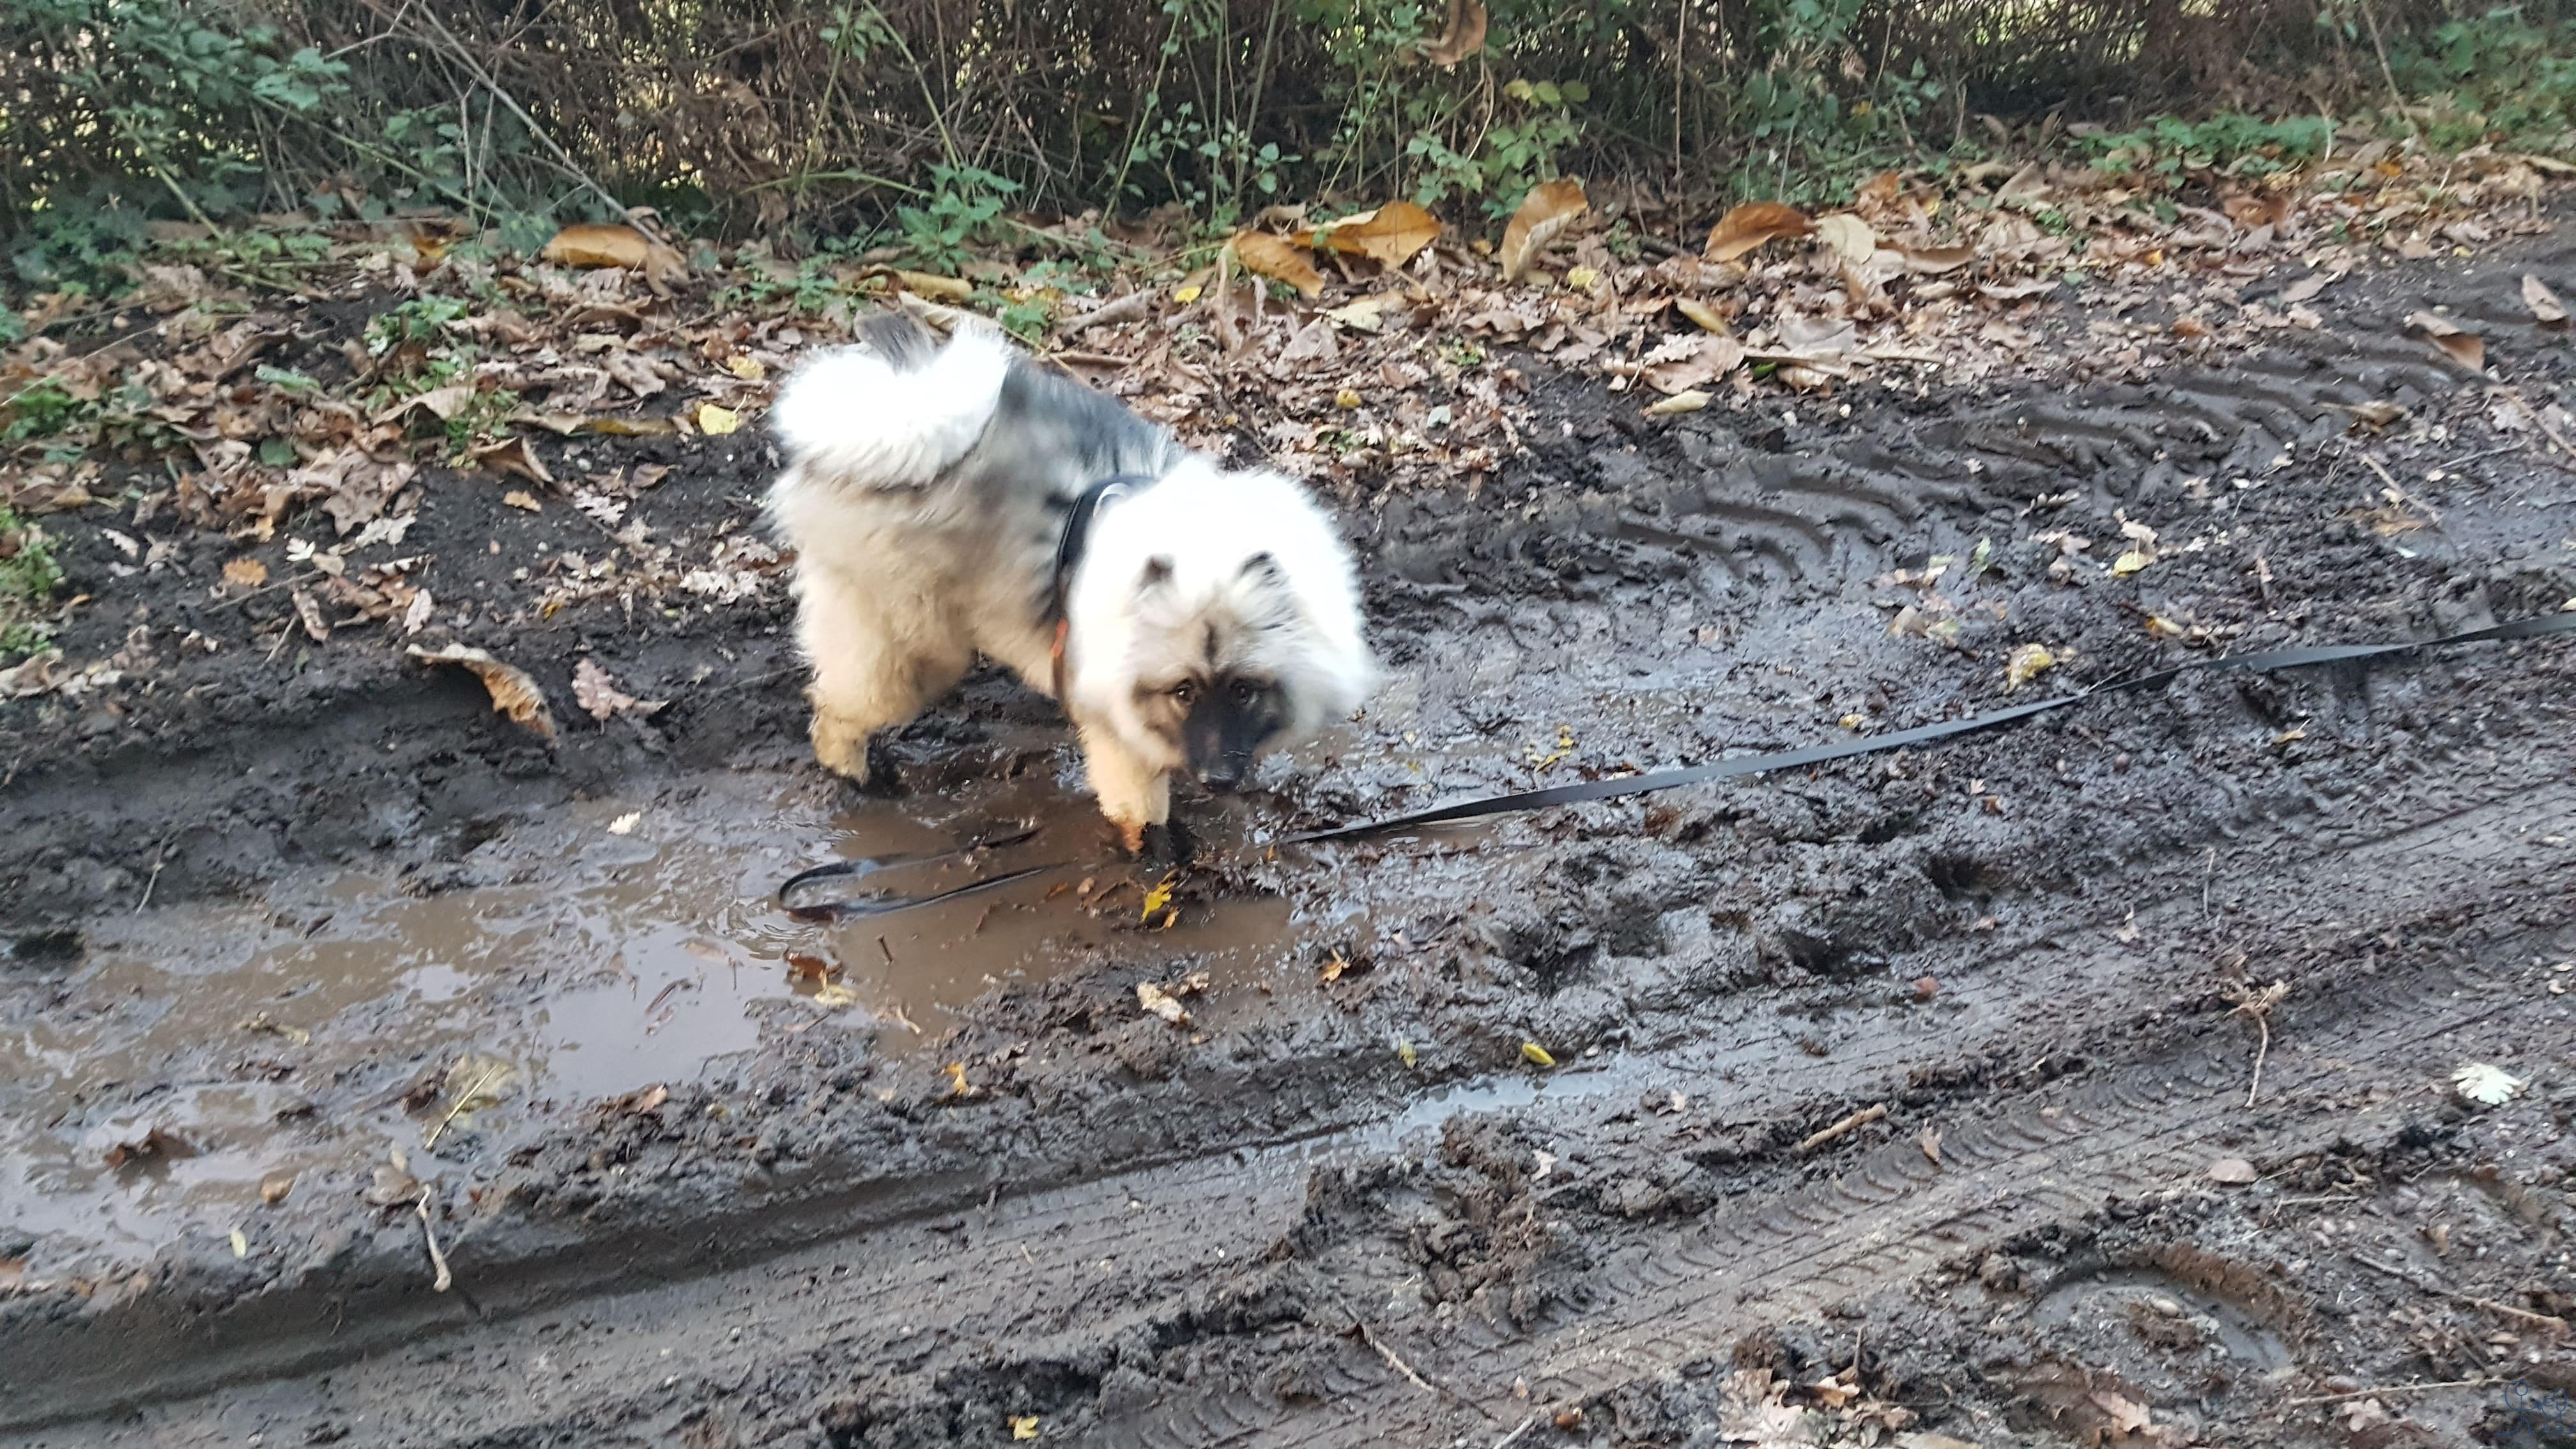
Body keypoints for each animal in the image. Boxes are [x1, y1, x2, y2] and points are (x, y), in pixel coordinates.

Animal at [762, 305, 1381, 845]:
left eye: (1245, 689)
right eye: (1184, 690)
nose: (1218, 780)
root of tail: (893, 419)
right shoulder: (1118, 731)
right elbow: (1141, 810)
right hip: (909, 648)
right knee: (838, 710)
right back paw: (859, 776)